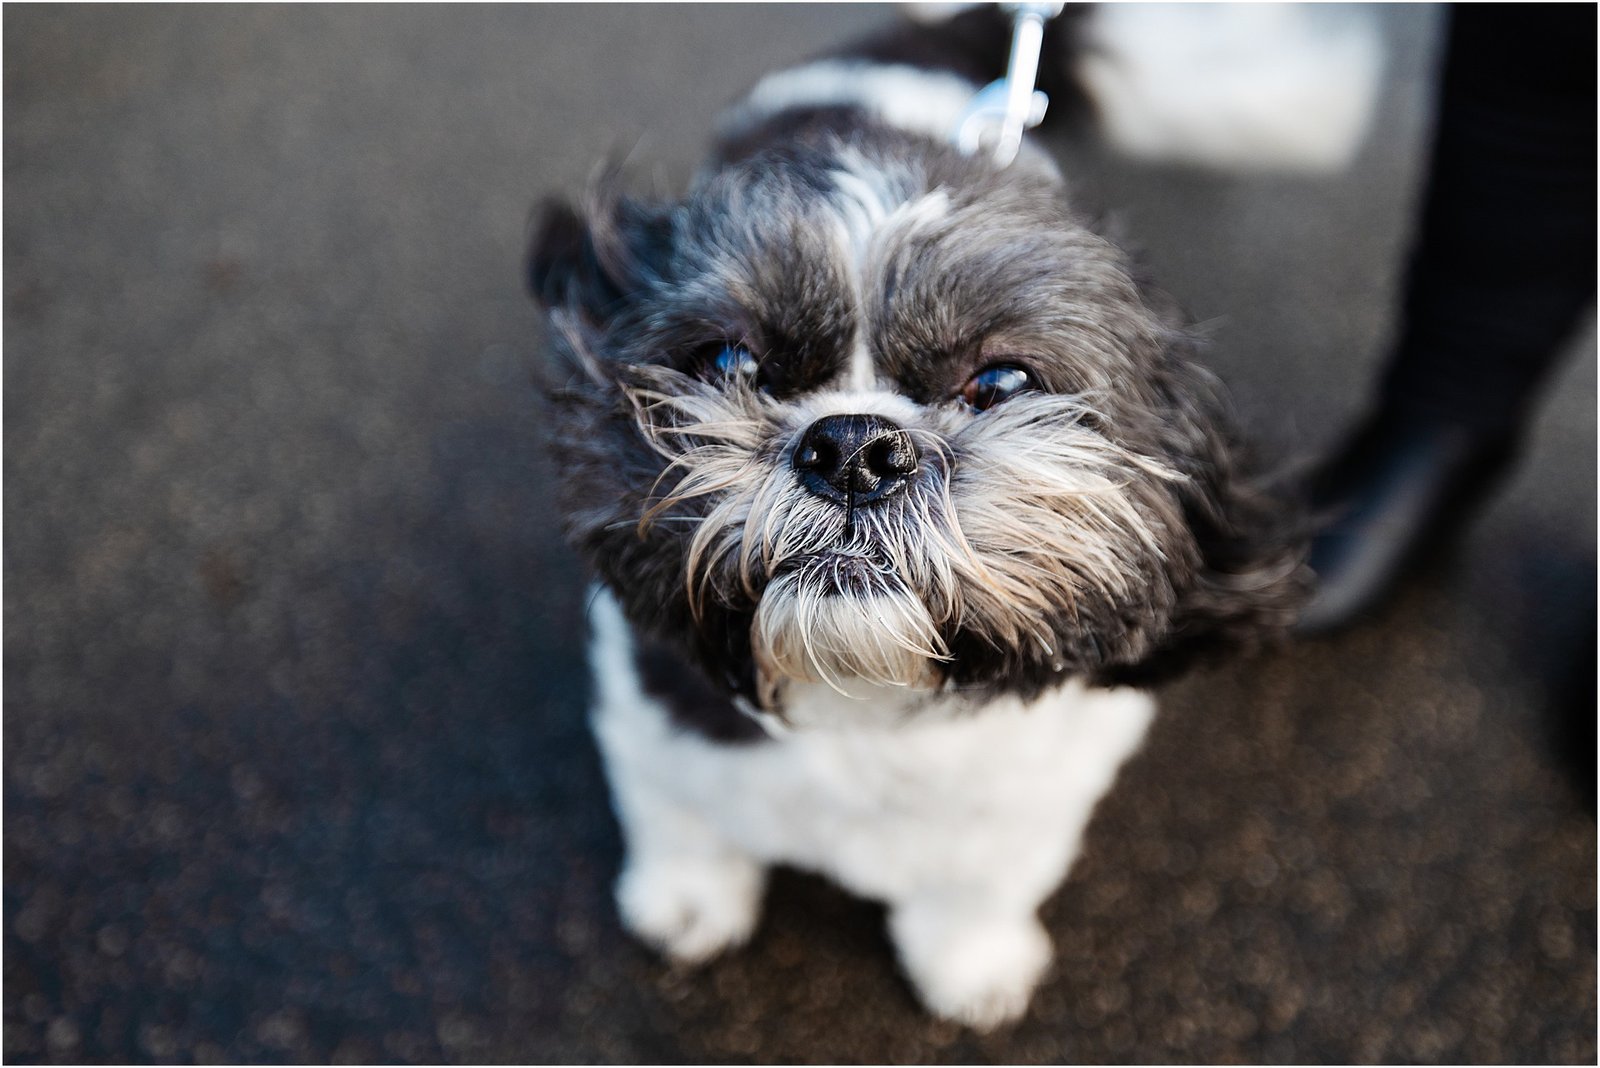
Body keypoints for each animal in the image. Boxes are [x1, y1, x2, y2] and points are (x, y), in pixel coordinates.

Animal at [524, 2, 1350, 1036]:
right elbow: (682, 820)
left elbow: (981, 885)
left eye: (1000, 383)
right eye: (732, 364)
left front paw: (972, 964)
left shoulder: (1041, 793)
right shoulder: (650, 716)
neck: (862, 706)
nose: (853, 448)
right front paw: (687, 903)